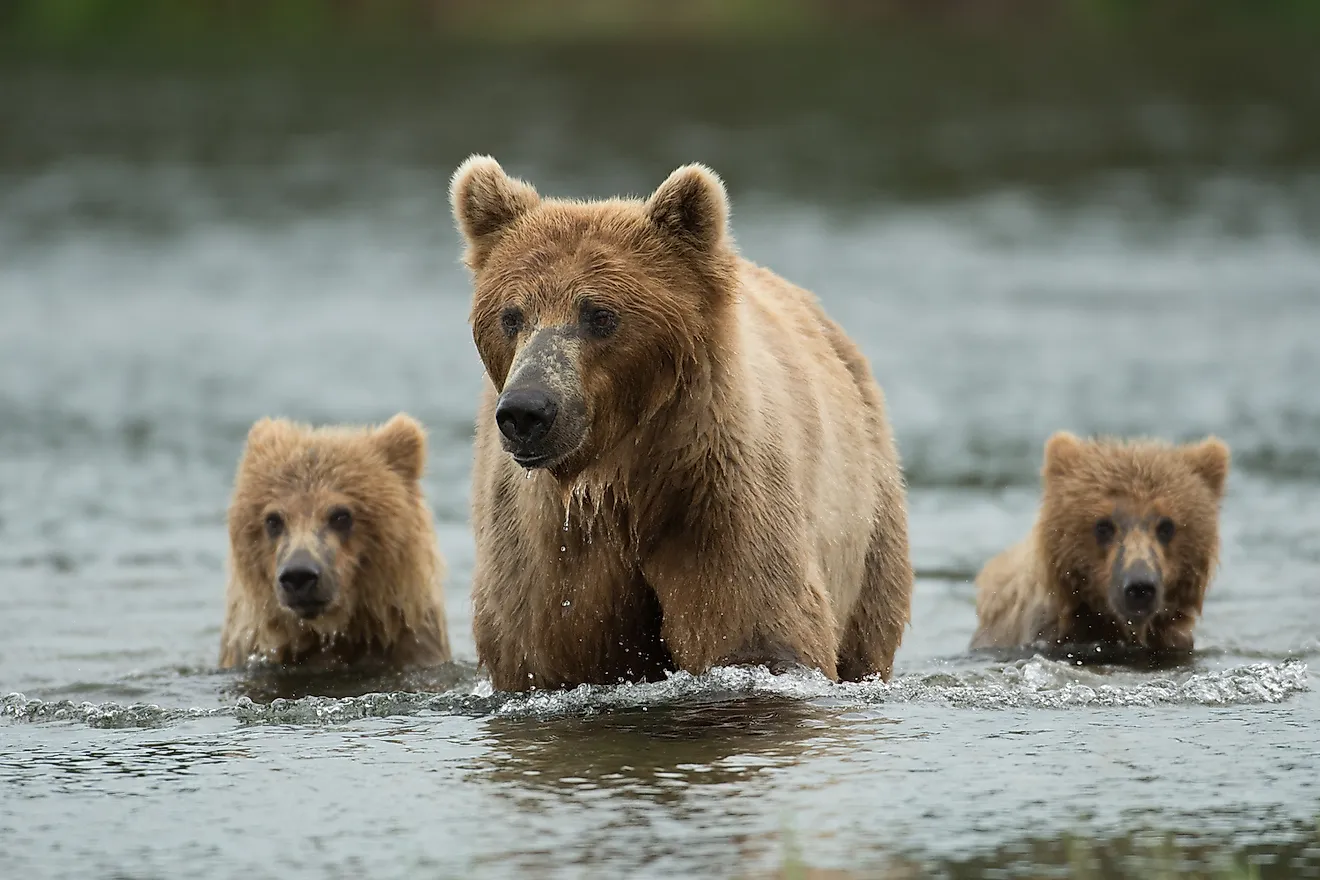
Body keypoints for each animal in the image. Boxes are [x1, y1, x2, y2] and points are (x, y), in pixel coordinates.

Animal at [448, 158, 913, 696]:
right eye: (511, 314)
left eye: (600, 314)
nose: (527, 411)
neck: (621, 476)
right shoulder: (545, 547)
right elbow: (543, 650)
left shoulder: (716, 496)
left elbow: (756, 632)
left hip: (868, 510)